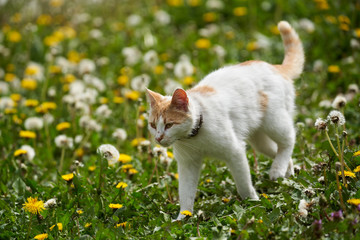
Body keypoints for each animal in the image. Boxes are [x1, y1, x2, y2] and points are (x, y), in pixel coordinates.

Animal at [146, 20, 304, 219]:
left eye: (169, 124)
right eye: (153, 125)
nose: (158, 138)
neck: (196, 135)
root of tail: (275, 67)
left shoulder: (235, 152)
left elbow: (244, 184)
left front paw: (253, 204)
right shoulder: (188, 164)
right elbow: (186, 194)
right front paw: (183, 218)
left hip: (275, 122)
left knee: (289, 140)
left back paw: (277, 170)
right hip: (259, 140)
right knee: (278, 151)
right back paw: (285, 170)